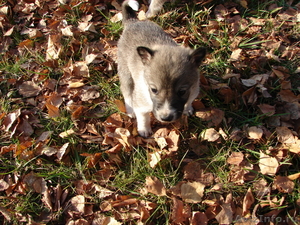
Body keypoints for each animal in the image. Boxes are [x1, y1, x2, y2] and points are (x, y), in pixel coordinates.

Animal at [117, 0, 206, 137]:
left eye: (182, 91)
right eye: (154, 90)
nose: (166, 118)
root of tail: (132, 22)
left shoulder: (194, 90)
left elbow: (189, 101)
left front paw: (187, 108)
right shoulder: (141, 105)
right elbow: (143, 117)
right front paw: (144, 130)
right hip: (126, 74)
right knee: (127, 94)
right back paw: (130, 110)